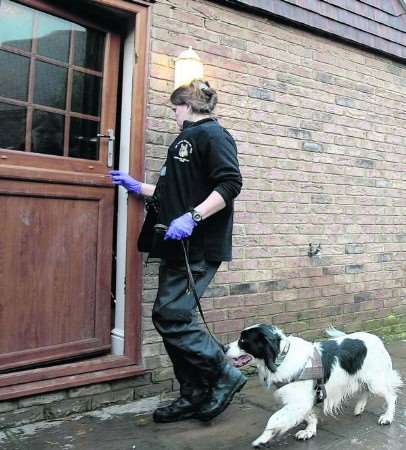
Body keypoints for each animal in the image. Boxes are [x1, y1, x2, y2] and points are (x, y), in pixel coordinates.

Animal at [227, 324, 402, 446]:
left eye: (243, 340)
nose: (224, 347)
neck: (282, 357)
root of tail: (377, 339)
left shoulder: (299, 401)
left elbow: (274, 419)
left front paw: (262, 439)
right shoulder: (304, 400)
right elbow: (309, 416)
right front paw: (309, 432)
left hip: (375, 381)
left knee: (391, 396)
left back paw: (387, 417)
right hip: (363, 378)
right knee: (365, 390)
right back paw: (359, 408)